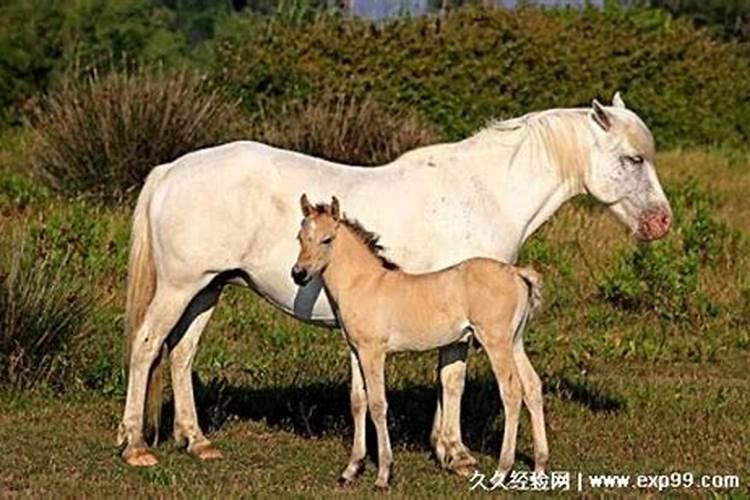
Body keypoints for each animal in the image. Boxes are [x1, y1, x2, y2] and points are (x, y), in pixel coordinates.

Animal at [296, 195, 552, 488]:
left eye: (327, 239)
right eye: (300, 237)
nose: (298, 274)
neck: (364, 283)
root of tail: (516, 273)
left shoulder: (374, 352)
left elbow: (378, 404)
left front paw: (383, 474)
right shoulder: (355, 350)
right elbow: (358, 402)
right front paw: (351, 469)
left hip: (496, 342)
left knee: (511, 392)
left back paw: (501, 472)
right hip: (515, 342)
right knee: (532, 387)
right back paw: (539, 469)